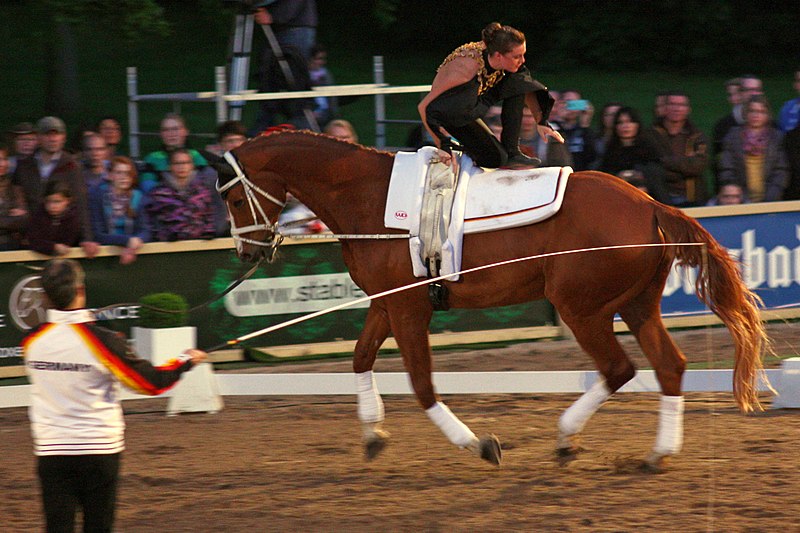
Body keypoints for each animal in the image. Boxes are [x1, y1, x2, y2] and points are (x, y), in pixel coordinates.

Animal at [214, 130, 768, 470]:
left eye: (235, 198)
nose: (248, 250)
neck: (368, 198)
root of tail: (650, 203)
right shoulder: (386, 304)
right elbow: (360, 358)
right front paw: (372, 434)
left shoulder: (409, 309)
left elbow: (421, 385)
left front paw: (479, 444)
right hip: (635, 306)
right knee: (669, 366)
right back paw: (657, 454)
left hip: (581, 308)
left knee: (619, 369)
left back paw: (566, 438)